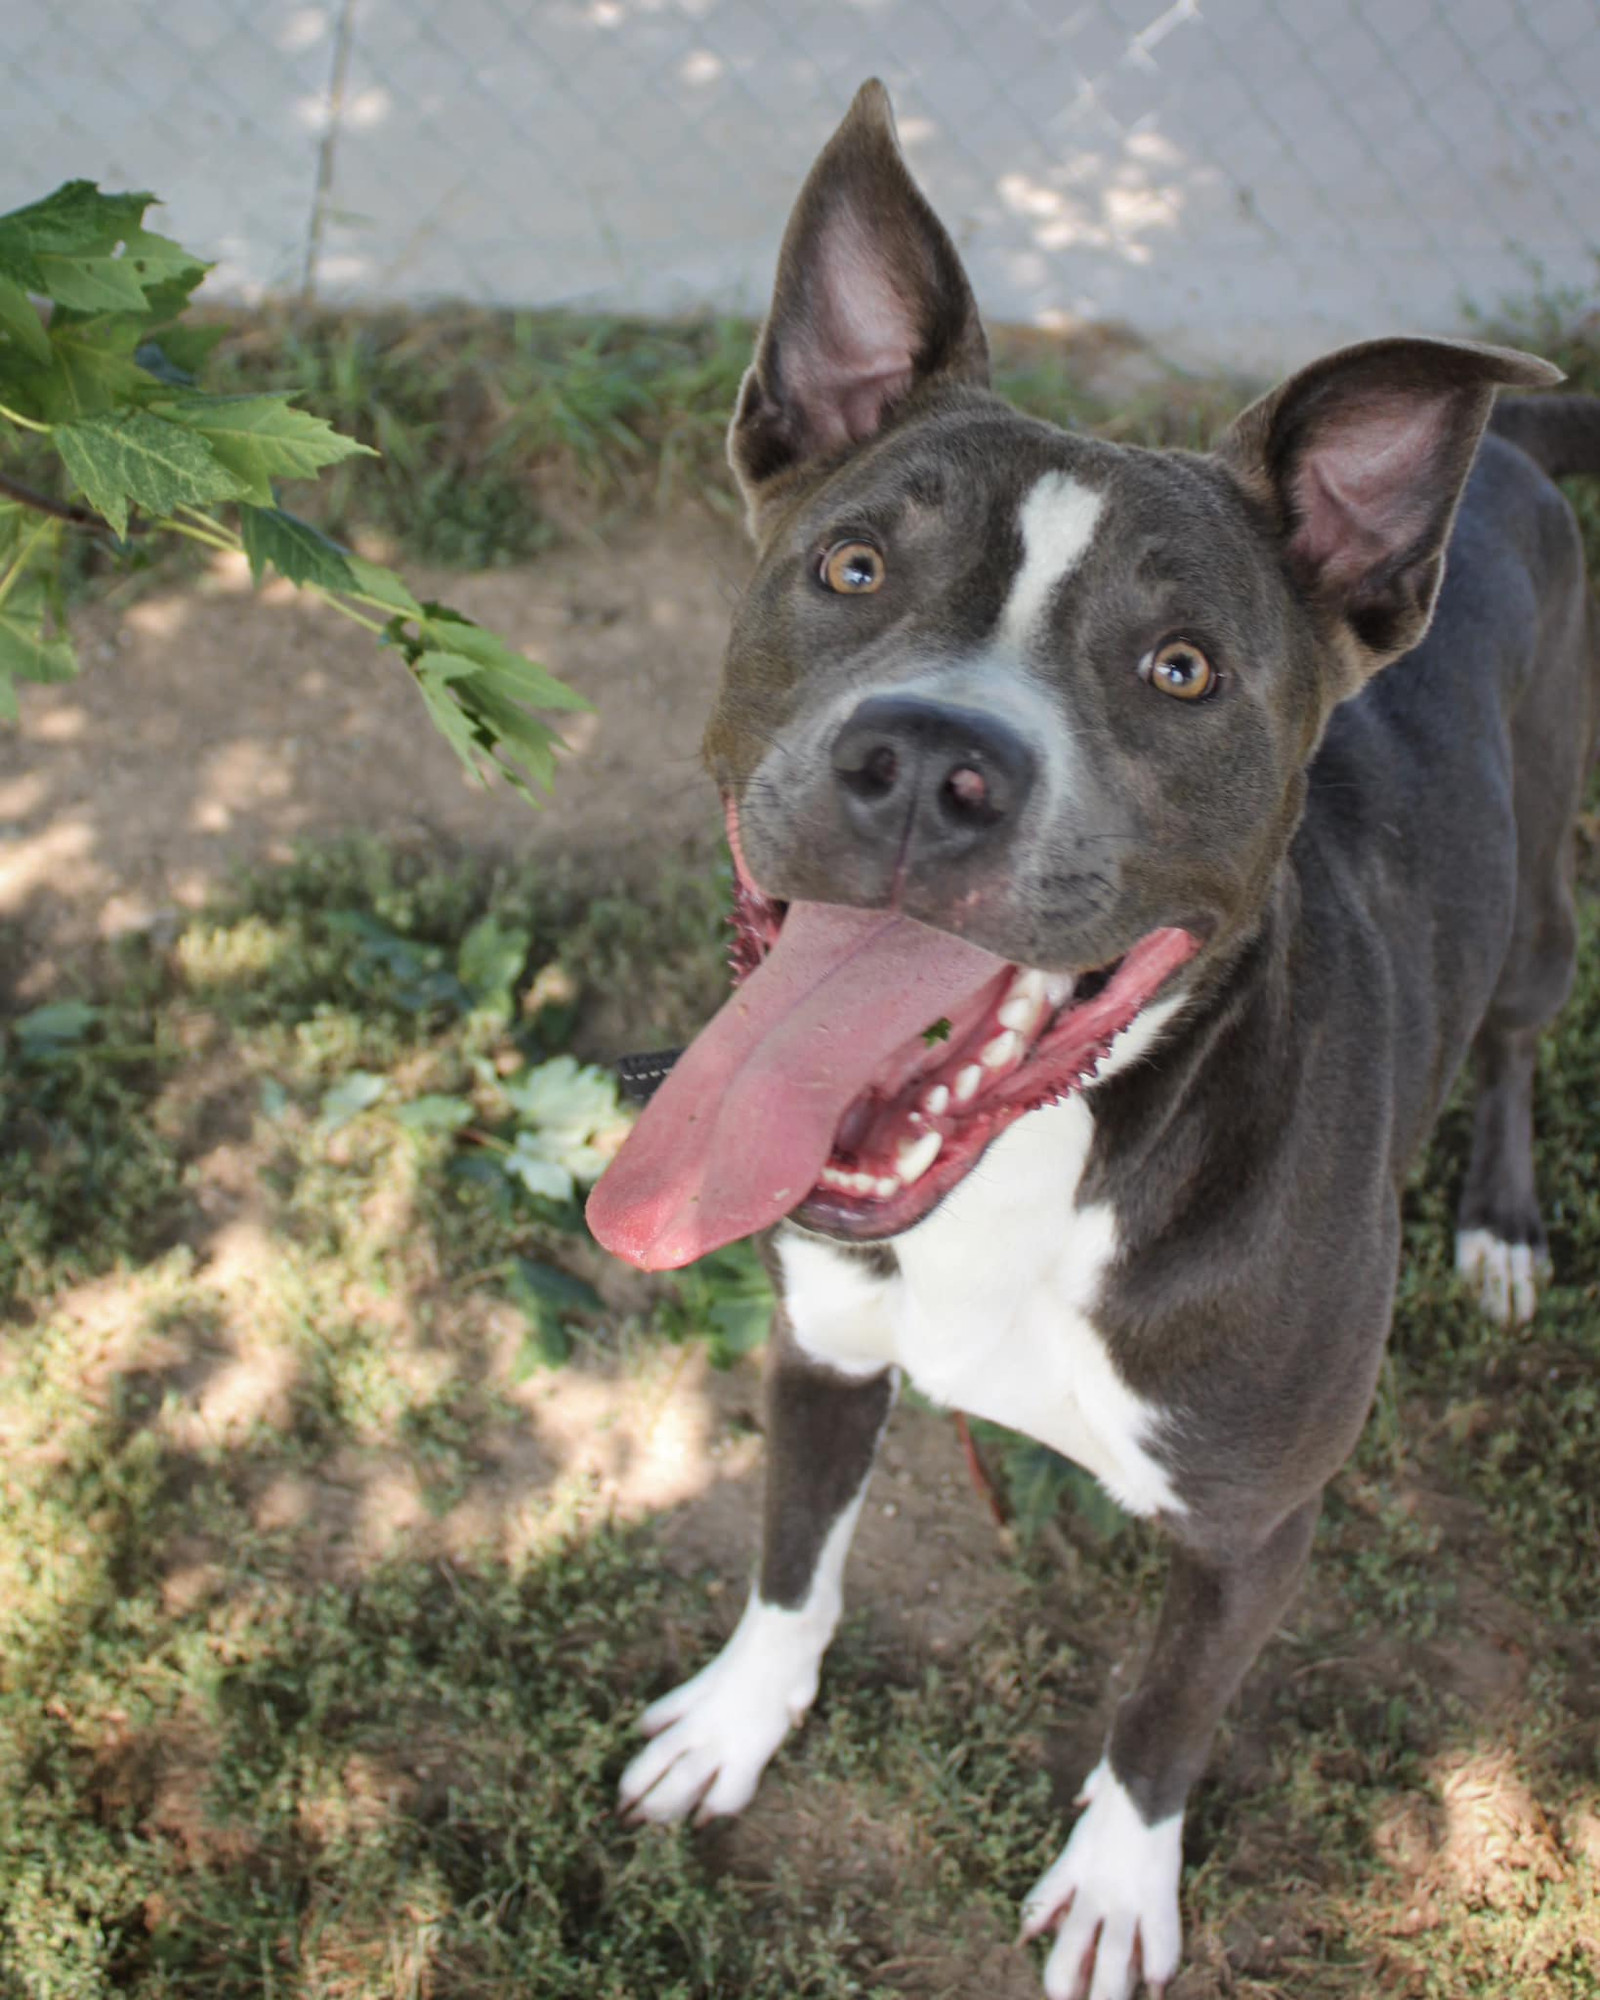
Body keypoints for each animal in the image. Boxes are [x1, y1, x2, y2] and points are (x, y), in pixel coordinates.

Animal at [588, 78, 1600, 2000]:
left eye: (1181, 668)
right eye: (852, 564)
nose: (926, 762)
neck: (1044, 1173)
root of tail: (1504, 452)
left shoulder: (1252, 1531)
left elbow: (1162, 1716)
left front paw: (1123, 1888)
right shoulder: (820, 1350)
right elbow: (790, 1562)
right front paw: (739, 1721)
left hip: (1537, 903)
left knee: (1516, 1039)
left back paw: (1503, 1229)